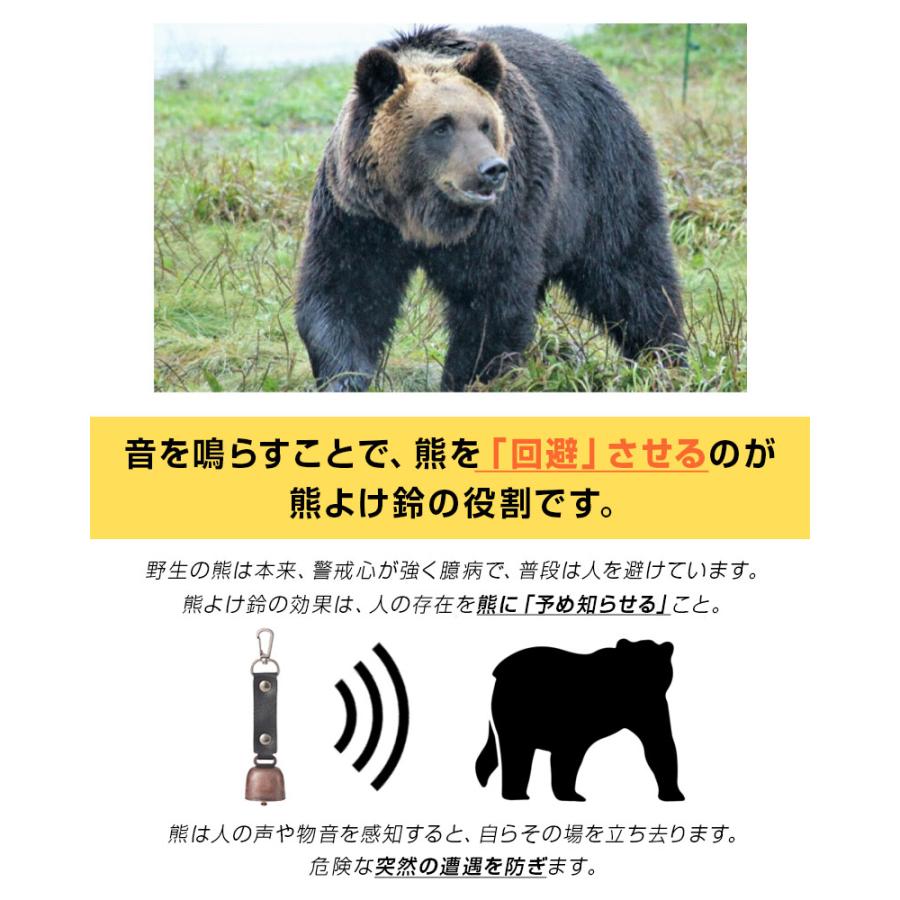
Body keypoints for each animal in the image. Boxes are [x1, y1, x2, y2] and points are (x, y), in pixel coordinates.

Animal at [296, 26, 684, 391]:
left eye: (485, 123)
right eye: (441, 126)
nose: (492, 169)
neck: (423, 217)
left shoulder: (501, 218)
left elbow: (489, 302)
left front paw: (467, 379)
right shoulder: (358, 215)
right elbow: (347, 291)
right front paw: (344, 378)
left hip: (602, 179)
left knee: (632, 274)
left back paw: (664, 359)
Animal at [475, 640, 685, 801]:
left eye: (655, 667)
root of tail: (498, 670)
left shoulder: (650, 707)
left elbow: (659, 744)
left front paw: (673, 794)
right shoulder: (575, 720)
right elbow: (567, 756)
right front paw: (570, 795)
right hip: (516, 710)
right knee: (516, 750)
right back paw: (516, 795)